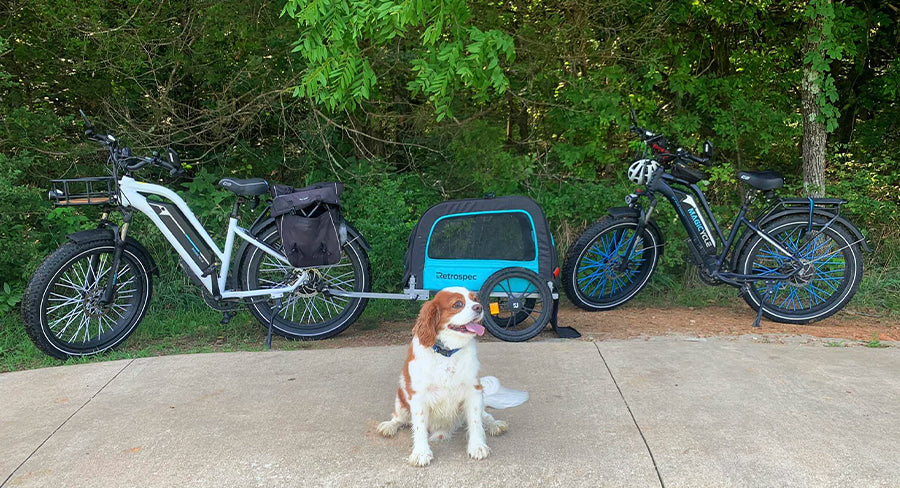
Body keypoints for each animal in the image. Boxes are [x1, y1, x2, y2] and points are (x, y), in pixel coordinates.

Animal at [376, 288, 510, 468]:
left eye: (475, 299)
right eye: (458, 304)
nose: (480, 307)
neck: (448, 353)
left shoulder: (473, 391)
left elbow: (475, 422)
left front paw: (477, 446)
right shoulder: (418, 396)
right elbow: (419, 427)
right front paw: (421, 452)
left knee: (485, 416)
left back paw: (494, 425)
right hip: (401, 401)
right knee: (398, 418)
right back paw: (389, 426)